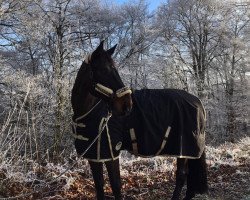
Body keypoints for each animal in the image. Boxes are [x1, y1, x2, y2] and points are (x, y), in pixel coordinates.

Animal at [70, 41, 207, 199]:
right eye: (104, 70)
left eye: (115, 69)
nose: (127, 105)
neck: (90, 113)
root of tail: (197, 101)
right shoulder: (94, 157)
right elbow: (99, 187)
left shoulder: (111, 154)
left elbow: (116, 186)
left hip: (183, 149)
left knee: (181, 176)